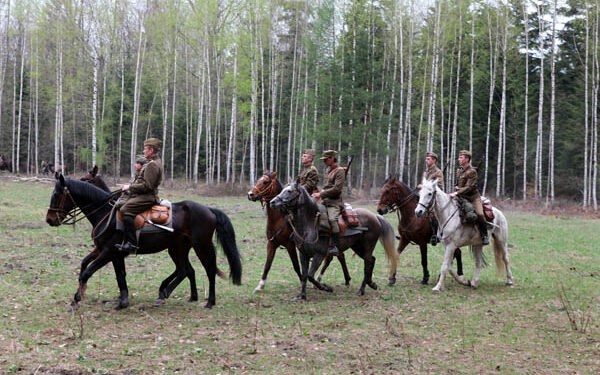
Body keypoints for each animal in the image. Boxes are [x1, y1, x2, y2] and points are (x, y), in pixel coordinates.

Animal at [46, 173, 241, 312]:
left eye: (56, 194)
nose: (50, 219)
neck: (106, 213)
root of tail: (208, 209)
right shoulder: (107, 252)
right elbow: (107, 272)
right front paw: (120, 301)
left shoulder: (108, 252)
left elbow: (88, 272)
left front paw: (76, 300)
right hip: (177, 248)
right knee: (185, 270)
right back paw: (172, 293)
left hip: (201, 246)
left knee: (208, 270)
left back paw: (208, 301)